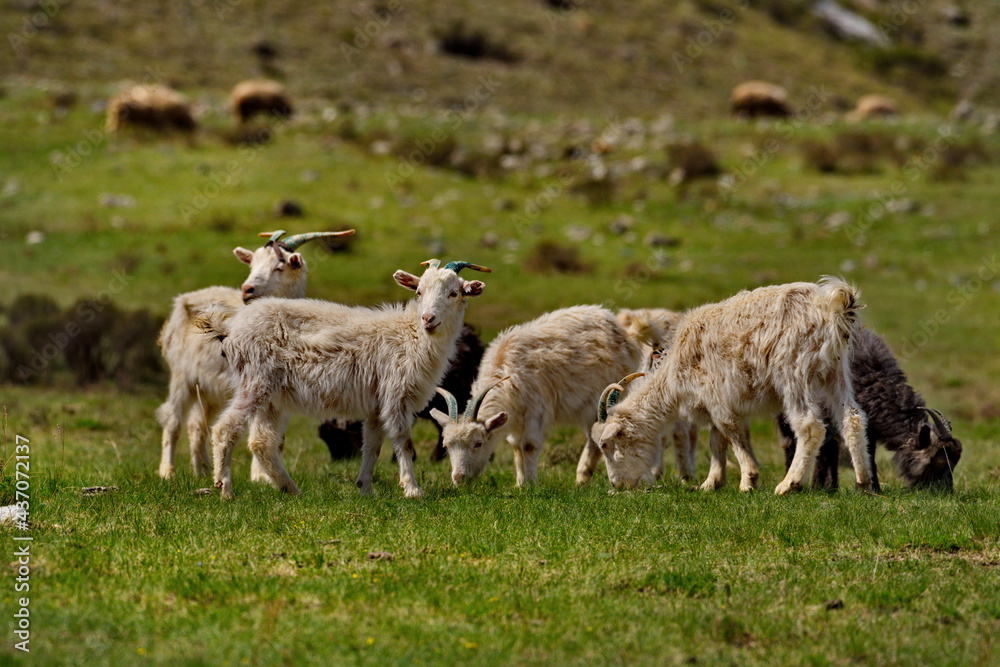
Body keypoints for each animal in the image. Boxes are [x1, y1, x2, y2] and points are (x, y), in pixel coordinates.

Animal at [595, 279, 878, 495]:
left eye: (606, 445)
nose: (616, 484)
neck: (675, 370)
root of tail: (832, 307)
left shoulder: (717, 397)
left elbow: (731, 432)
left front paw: (748, 481)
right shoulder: (715, 402)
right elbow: (716, 439)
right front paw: (711, 483)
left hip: (793, 370)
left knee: (809, 426)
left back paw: (789, 484)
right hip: (835, 371)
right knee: (851, 417)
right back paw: (863, 484)